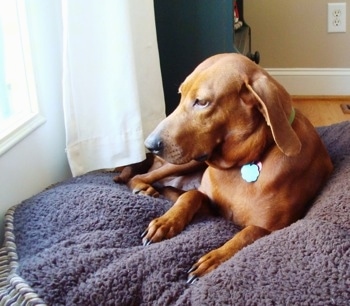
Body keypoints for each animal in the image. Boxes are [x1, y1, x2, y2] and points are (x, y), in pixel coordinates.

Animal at [115, 53, 334, 284]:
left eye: (202, 102)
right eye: (181, 95)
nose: (149, 144)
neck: (245, 162)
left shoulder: (271, 229)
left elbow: (248, 233)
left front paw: (213, 259)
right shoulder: (213, 207)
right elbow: (191, 195)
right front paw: (165, 222)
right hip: (188, 162)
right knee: (141, 176)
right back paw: (144, 188)